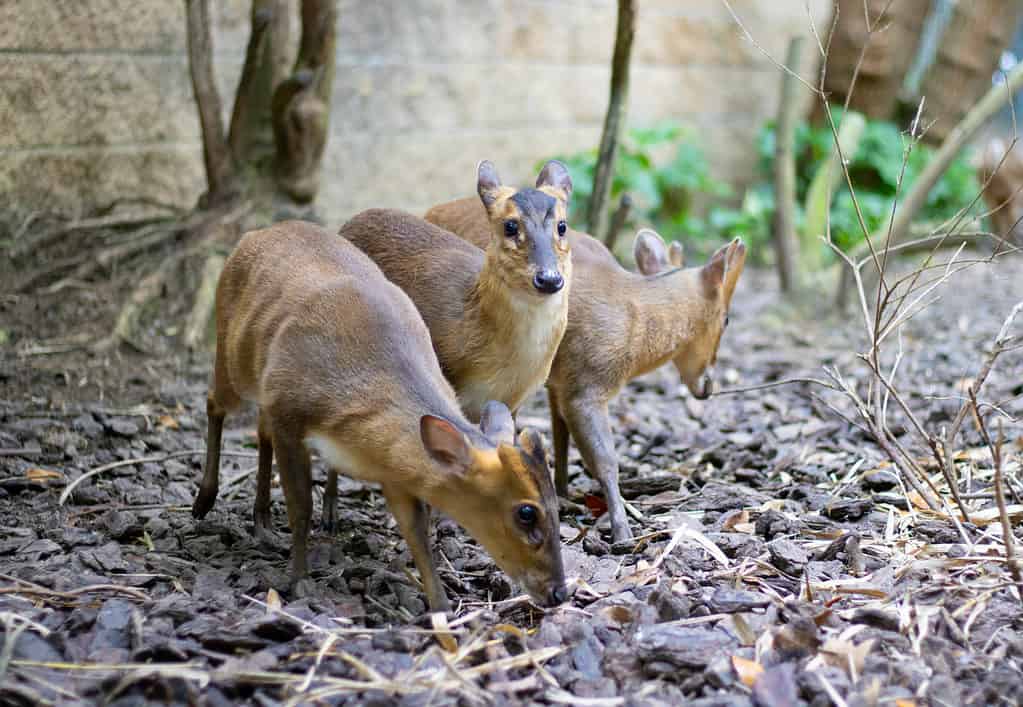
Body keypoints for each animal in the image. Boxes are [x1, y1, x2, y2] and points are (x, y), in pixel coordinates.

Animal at [188, 218, 564, 609]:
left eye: (558, 508)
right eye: (526, 513)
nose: (559, 592)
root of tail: (255, 233)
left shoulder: (393, 466)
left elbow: (416, 532)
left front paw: (441, 606)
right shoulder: (288, 410)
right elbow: (300, 507)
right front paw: (299, 580)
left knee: (260, 432)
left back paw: (261, 520)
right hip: (233, 358)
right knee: (214, 402)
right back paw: (204, 500)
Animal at [421, 197, 744, 540]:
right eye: (726, 319)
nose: (707, 386)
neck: (637, 317)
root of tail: (432, 210)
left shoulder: (560, 381)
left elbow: (559, 433)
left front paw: (564, 494)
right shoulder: (585, 391)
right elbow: (605, 460)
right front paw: (623, 531)